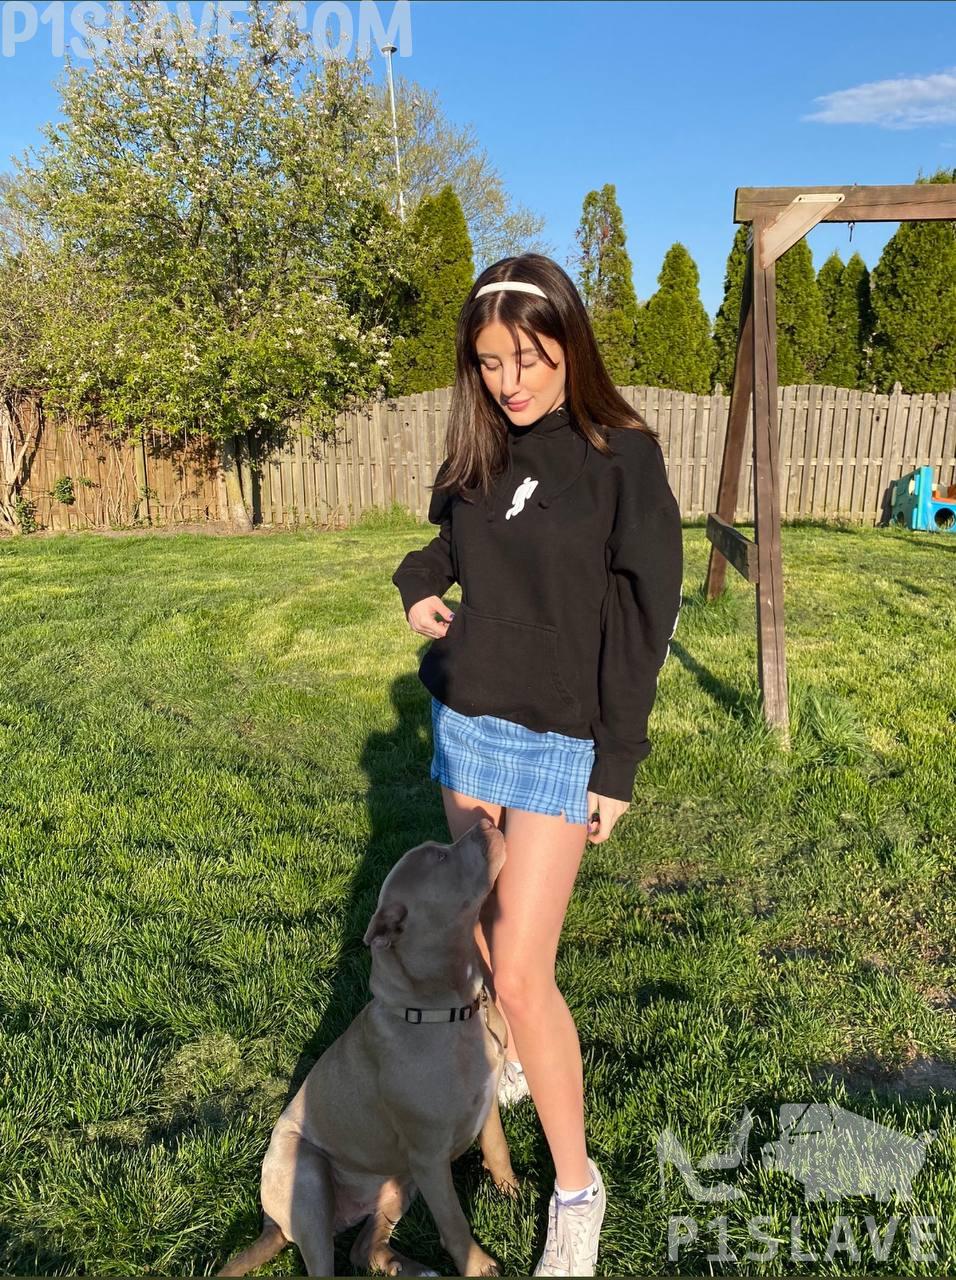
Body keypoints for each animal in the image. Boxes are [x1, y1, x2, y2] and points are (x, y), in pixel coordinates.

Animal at [216, 816, 520, 1277]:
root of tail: (271, 1223)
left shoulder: (480, 1109)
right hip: (310, 1178)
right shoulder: (430, 1158)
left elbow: (498, 1148)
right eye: (440, 856)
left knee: (364, 1247)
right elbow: (454, 1222)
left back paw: (411, 1268)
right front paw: (478, 1264)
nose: (486, 820)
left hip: (399, 1183)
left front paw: (511, 1191)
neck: (444, 1010)